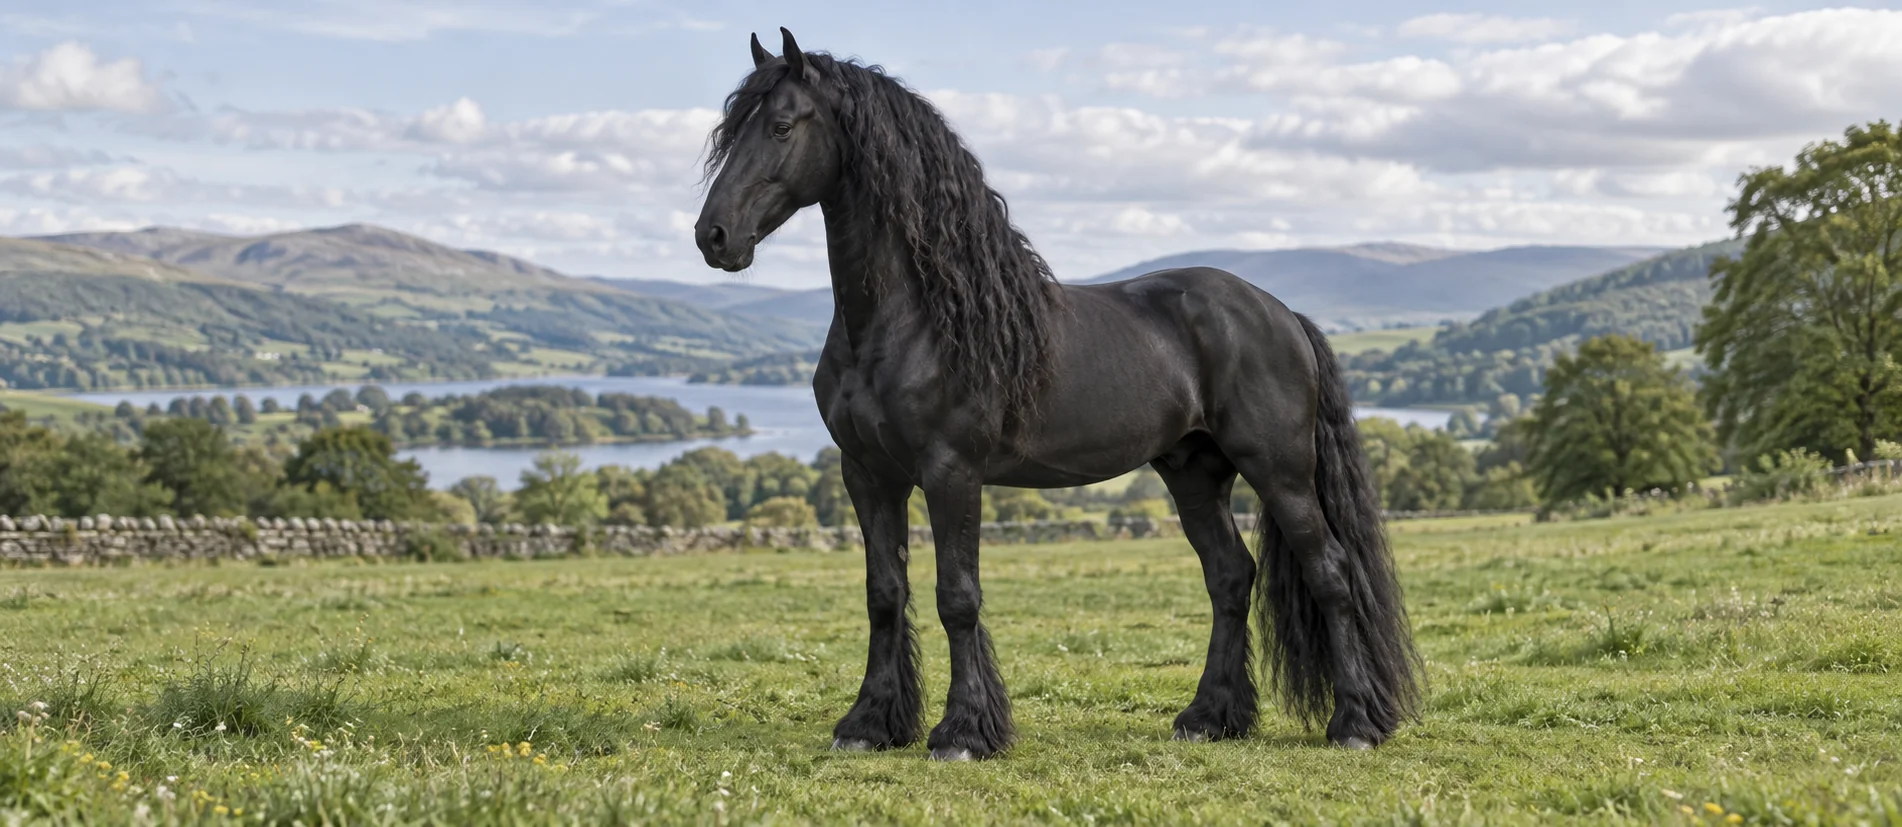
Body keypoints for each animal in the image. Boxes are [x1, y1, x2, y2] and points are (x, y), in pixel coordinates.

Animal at [693, 28, 1420, 761]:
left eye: (782, 125)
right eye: (729, 133)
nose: (713, 236)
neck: (916, 319)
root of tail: (1281, 313)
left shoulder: (951, 471)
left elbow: (957, 596)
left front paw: (964, 732)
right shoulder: (867, 473)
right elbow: (884, 593)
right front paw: (869, 723)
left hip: (1280, 470)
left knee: (1330, 572)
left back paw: (1355, 723)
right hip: (1195, 472)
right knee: (1229, 577)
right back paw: (1209, 716)